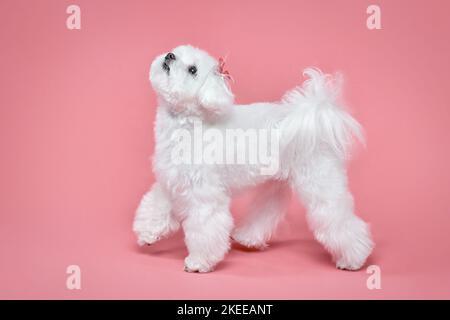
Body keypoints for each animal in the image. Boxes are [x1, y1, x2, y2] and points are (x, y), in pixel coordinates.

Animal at [133, 43, 372, 272]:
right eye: (175, 51)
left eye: (193, 70)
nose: (170, 56)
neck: (189, 124)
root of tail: (313, 119)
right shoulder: (170, 182)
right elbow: (155, 206)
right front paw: (147, 233)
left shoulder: (205, 195)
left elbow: (204, 228)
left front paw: (199, 262)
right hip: (276, 183)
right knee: (267, 210)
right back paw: (248, 237)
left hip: (319, 183)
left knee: (337, 218)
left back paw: (353, 259)